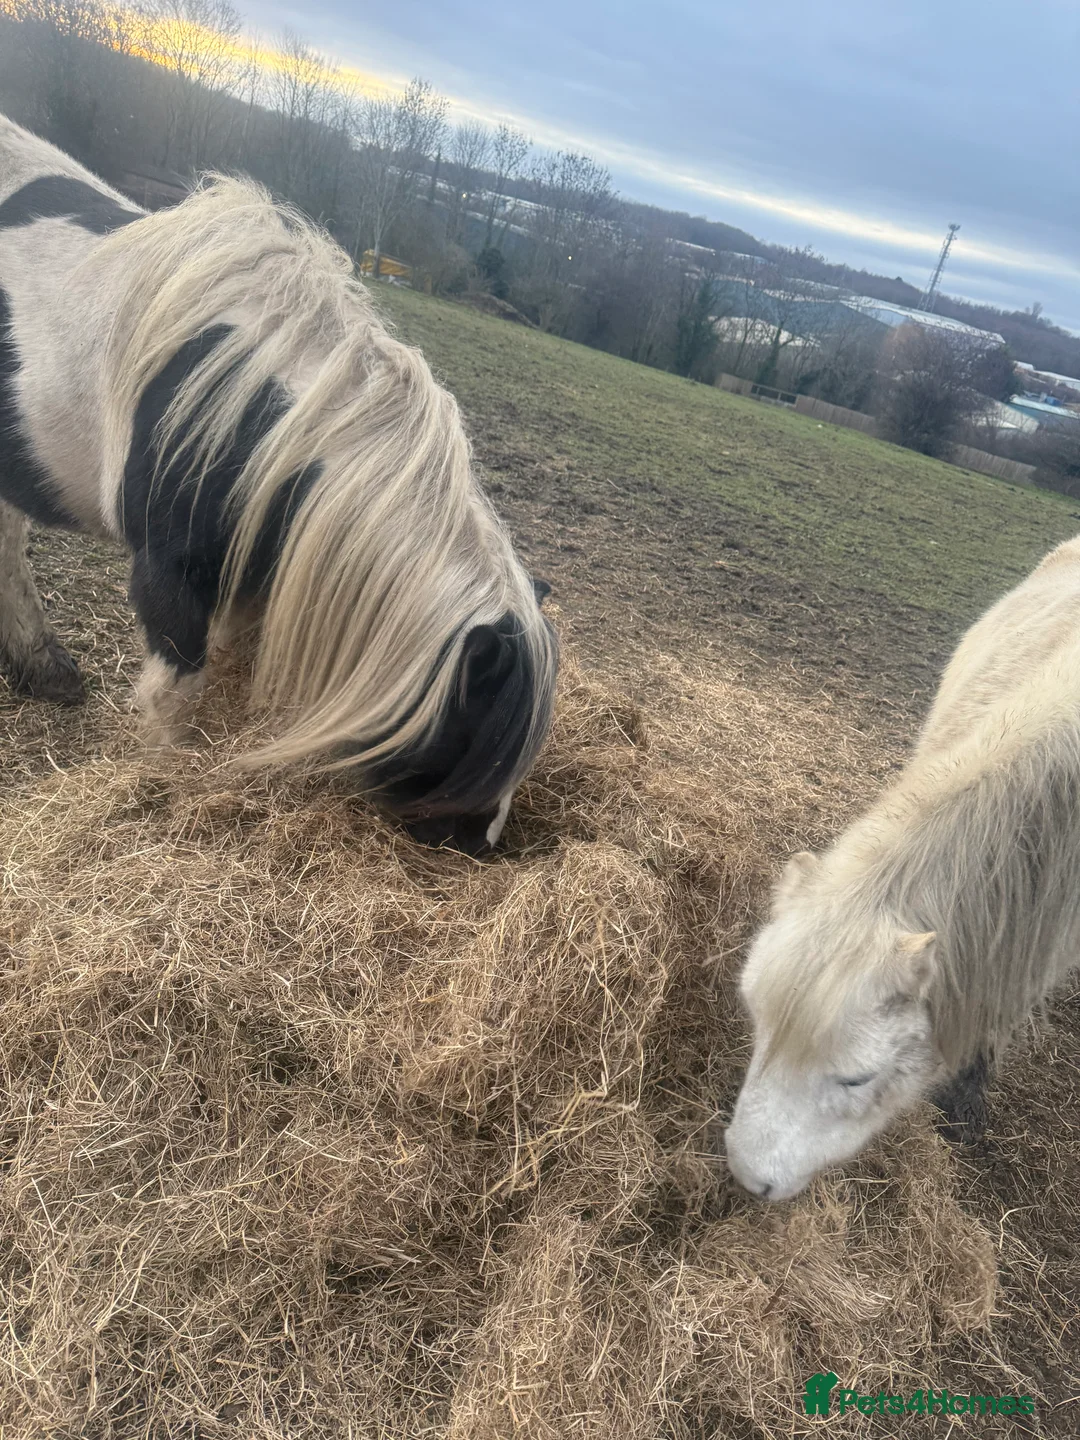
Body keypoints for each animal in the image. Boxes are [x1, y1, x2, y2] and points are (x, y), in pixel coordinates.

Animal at [0, 116, 557, 853]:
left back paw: (41, 669)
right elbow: (175, 696)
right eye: (479, 746)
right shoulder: (168, 579)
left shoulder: (247, 578)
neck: (264, 417)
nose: (482, 845)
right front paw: (160, 784)